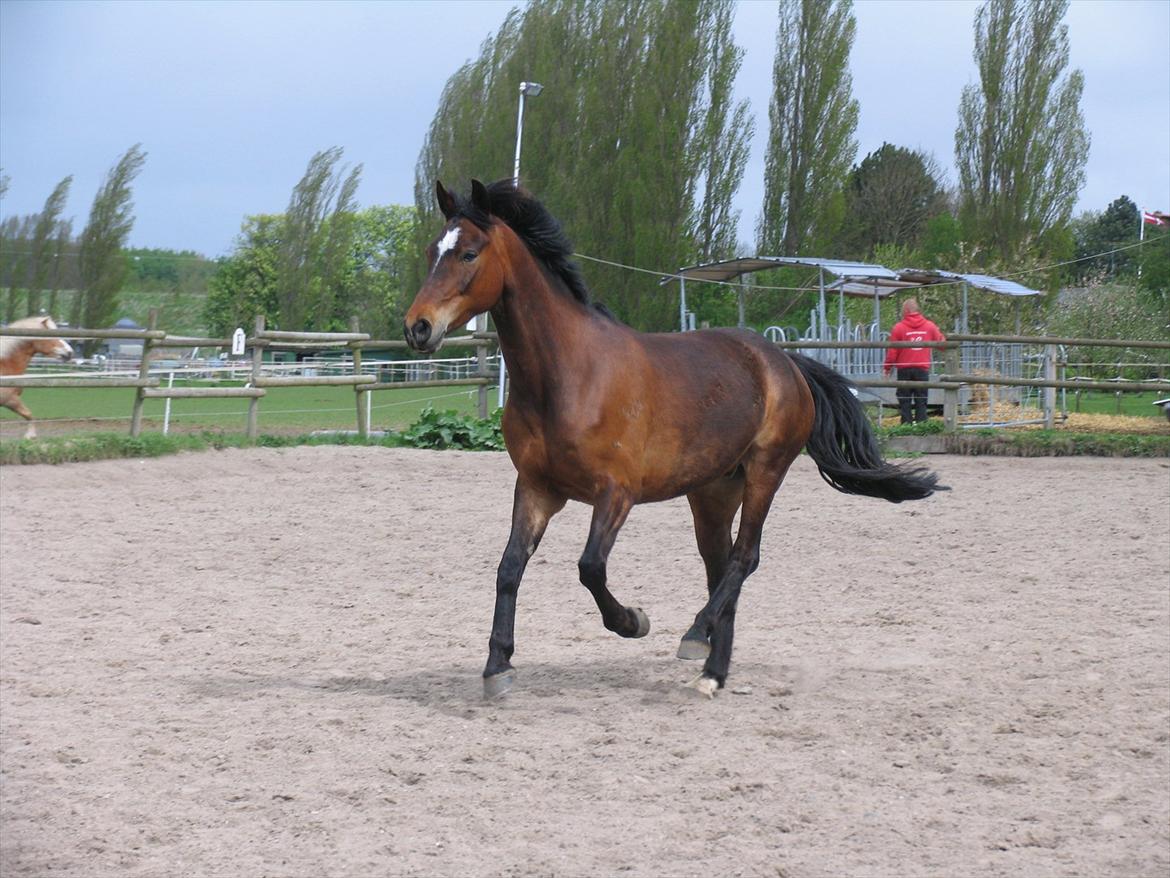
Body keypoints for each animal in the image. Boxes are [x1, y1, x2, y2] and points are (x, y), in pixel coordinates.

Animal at [404, 180, 940, 702]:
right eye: (432, 250)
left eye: (468, 253)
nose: (417, 328)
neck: (568, 376)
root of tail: (784, 361)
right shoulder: (536, 489)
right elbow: (509, 567)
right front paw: (497, 667)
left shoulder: (616, 493)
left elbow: (590, 567)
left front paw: (633, 622)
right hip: (713, 491)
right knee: (721, 568)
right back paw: (712, 673)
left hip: (766, 472)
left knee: (744, 558)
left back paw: (695, 637)